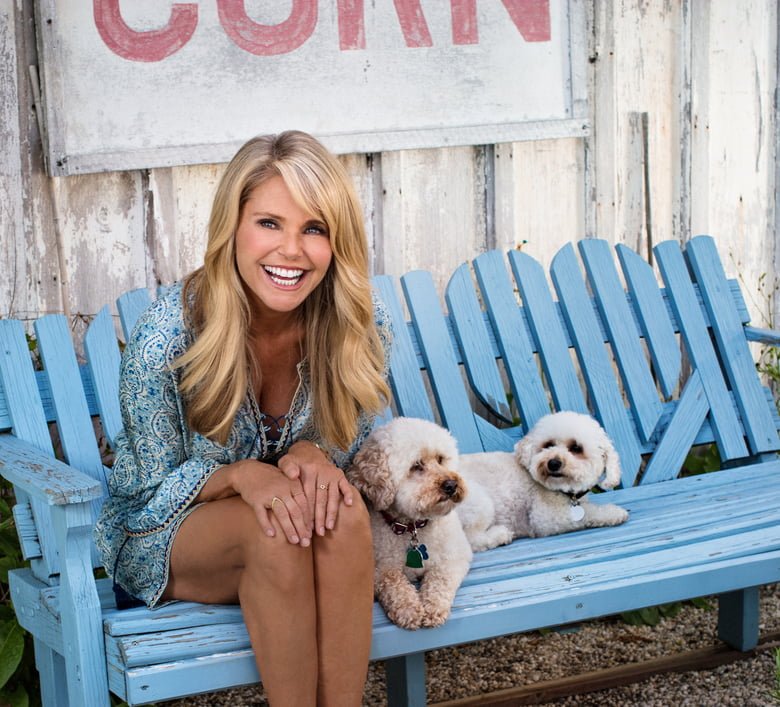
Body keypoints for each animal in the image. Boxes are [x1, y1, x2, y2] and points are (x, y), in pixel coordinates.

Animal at [348, 418, 472, 628]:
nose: (451, 485)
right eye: (416, 466)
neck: (413, 528)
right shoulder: (378, 569)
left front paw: (433, 606)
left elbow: (441, 578)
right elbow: (392, 581)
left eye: (440, 459)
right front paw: (409, 608)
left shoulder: (455, 557)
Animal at [458, 410, 628, 552]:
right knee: (472, 540)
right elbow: (589, 513)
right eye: (549, 444)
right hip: (478, 502)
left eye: (576, 448)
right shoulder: (547, 518)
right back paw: (499, 535)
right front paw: (613, 512)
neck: (562, 490)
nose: (553, 463)